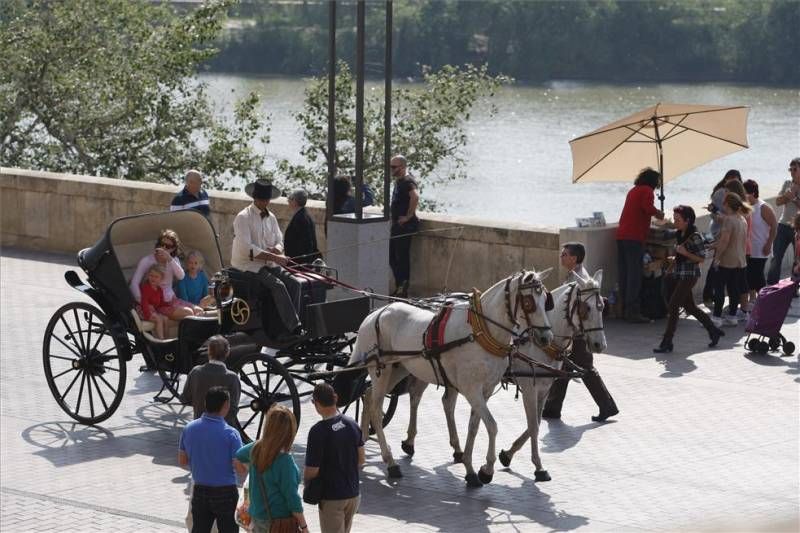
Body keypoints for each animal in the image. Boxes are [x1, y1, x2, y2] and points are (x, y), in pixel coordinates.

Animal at [350, 270, 556, 486]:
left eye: (546, 301)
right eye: (529, 302)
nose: (546, 338)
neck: (481, 332)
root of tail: (374, 314)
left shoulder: (486, 390)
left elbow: (474, 426)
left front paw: (469, 467)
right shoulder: (471, 389)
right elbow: (492, 425)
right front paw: (487, 469)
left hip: (399, 369)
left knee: (368, 395)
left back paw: (364, 440)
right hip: (382, 369)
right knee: (376, 408)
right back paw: (390, 461)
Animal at [400, 270, 608, 482]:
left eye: (602, 307)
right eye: (586, 308)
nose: (600, 345)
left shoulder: (544, 387)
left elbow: (536, 423)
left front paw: (507, 454)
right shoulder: (529, 387)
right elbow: (533, 425)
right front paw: (537, 466)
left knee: (447, 403)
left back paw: (457, 450)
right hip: (426, 367)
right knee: (416, 396)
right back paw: (410, 441)